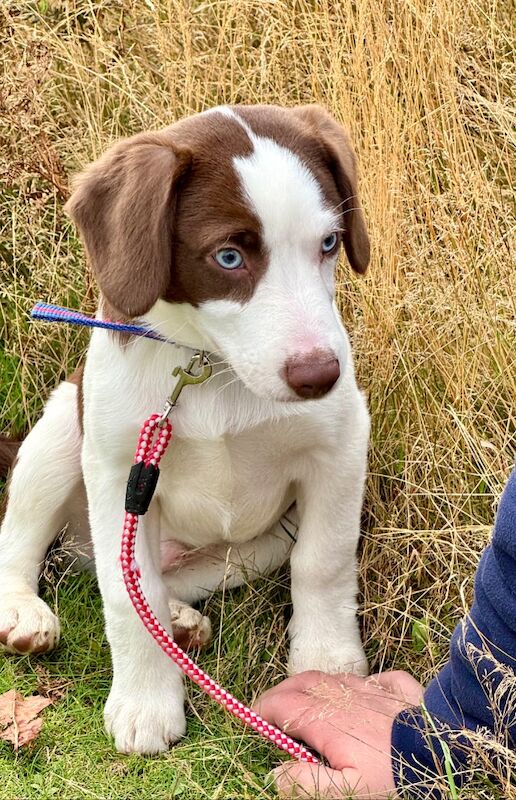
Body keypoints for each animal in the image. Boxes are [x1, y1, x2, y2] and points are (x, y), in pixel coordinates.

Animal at [0, 103, 370, 752]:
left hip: (261, 545)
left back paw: (178, 621)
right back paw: (24, 610)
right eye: (228, 257)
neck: (213, 368)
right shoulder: (118, 472)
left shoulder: (340, 448)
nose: (321, 376)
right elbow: (127, 594)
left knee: (171, 576)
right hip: (62, 428)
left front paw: (327, 669)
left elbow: (323, 561)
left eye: (328, 243)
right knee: (26, 540)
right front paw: (146, 703)